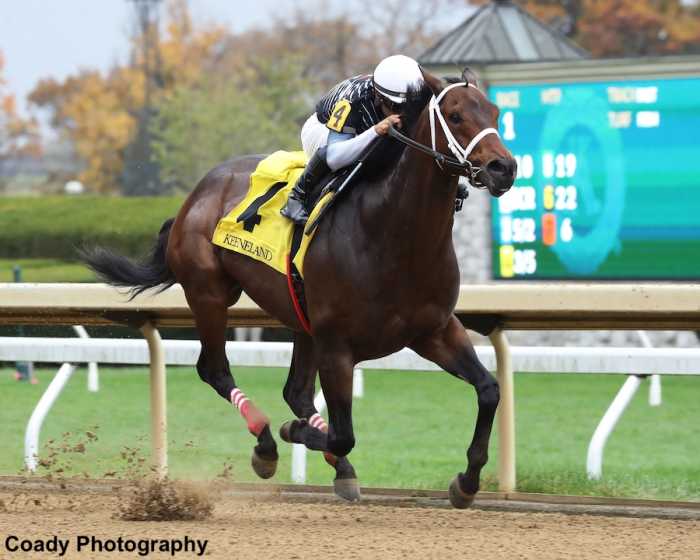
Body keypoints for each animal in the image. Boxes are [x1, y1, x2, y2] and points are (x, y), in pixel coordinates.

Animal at [82, 68, 516, 508]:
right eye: (456, 115)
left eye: (496, 112)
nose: (504, 167)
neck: (393, 235)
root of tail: (197, 194)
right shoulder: (337, 345)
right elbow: (343, 435)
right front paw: (292, 433)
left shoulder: (434, 330)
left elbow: (489, 389)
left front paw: (466, 482)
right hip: (210, 294)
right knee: (215, 370)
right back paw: (266, 444)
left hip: (301, 318)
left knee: (296, 392)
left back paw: (336, 467)